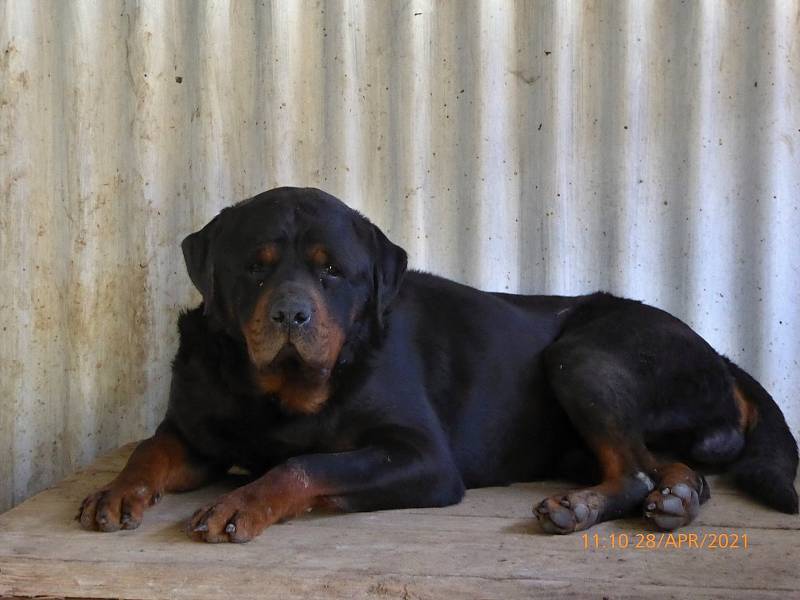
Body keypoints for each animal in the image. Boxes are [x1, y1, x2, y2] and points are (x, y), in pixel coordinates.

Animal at [78, 188, 796, 544]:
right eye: (256, 266)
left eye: (333, 272)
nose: (290, 314)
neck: (281, 394)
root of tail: (719, 353)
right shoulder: (196, 432)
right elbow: (149, 449)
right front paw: (116, 490)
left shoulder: (420, 456)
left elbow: (305, 463)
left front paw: (243, 501)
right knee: (656, 465)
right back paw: (677, 496)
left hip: (583, 354)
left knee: (633, 467)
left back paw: (584, 507)